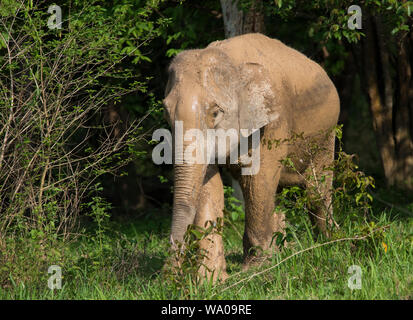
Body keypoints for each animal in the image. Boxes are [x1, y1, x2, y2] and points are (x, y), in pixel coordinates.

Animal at [161, 33, 338, 282]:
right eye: (165, 111)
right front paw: (211, 281)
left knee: (316, 190)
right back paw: (284, 252)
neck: (231, 61)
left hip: (326, 134)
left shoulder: (274, 121)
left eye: (215, 113)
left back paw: (329, 243)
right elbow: (209, 186)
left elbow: (257, 181)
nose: (168, 277)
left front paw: (256, 270)